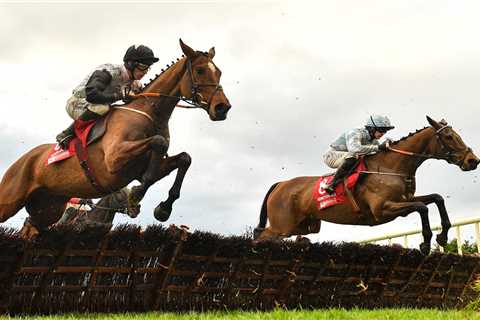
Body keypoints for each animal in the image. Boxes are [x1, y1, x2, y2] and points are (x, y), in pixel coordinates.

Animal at [0, 38, 231, 236]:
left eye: (219, 72)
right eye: (200, 70)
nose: (222, 108)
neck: (150, 113)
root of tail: (24, 159)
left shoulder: (143, 166)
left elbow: (184, 158)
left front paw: (163, 209)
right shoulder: (114, 159)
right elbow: (158, 143)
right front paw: (136, 194)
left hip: (48, 208)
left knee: (31, 225)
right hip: (10, 200)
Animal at [253, 116, 478, 254]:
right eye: (449, 136)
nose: (473, 160)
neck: (392, 166)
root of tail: (281, 184)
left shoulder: (405, 200)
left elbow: (436, 199)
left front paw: (442, 237)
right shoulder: (382, 209)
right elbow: (422, 207)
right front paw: (425, 243)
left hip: (304, 226)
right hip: (283, 226)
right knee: (260, 235)